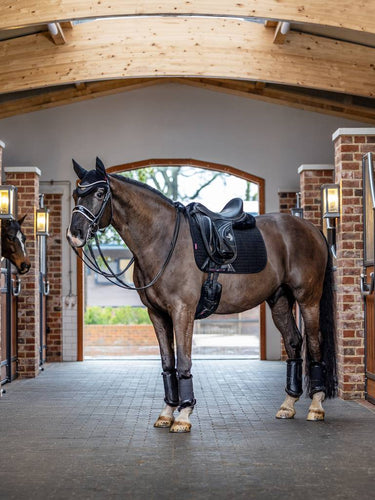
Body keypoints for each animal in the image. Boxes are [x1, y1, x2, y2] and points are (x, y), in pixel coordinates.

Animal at [67, 158, 338, 432]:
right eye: (76, 194)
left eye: (100, 193)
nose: (74, 234)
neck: (163, 239)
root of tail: (311, 228)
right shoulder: (157, 314)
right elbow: (168, 363)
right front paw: (167, 413)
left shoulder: (182, 310)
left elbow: (184, 361)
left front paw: (183, 415)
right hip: (280, 301)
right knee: (294, 342)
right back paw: (288, 405)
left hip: (308, 299)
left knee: (315, 343)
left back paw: (316, 406)